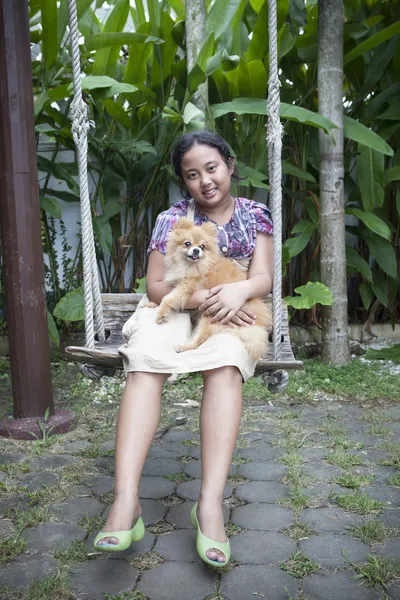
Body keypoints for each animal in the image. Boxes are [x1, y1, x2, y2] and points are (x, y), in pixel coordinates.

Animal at [153, 219, 272, 360]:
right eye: (187, 244)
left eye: (202, 246)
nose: (196, 250)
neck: (191, 265)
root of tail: (258, 324)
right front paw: (150, 303)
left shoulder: (186, 286)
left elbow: (168, 298)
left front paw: (161, 314)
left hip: (210, 317)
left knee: (199, 340)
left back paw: (183, 347)